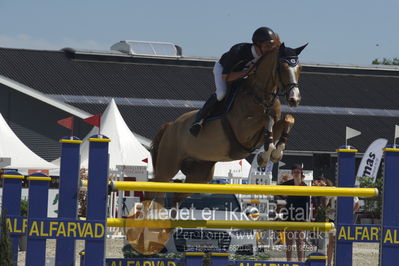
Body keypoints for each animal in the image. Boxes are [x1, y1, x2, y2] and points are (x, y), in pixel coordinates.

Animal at [148, 42, 308, 204]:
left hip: (200, 173)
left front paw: (276, 152)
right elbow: (266, 119)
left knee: (177, 196)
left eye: (300, 68)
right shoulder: (243, 131)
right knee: (154, 190)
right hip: (167, 167)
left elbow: (288, 119)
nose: (295, 99)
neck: (260, 96)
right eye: (282, 67)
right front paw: (265, 154)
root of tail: (170, 126)